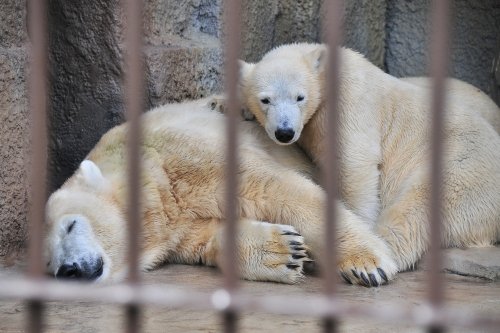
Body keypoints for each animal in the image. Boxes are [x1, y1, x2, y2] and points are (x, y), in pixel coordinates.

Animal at [46, 96, 398, 286]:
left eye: (71, 225)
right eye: (49, 264)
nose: (69, 270)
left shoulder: (183, 156)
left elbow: (273, 188)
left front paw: (368, 265)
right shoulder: (176, 232)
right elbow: (209, 238)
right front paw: (286, 252)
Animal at [237, 42, 500, 286]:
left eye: (300, 97)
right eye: (265, 100)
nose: (285, 132)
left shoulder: (350, 99)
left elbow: (355, 164)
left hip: (465, 164)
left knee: (418, 207)